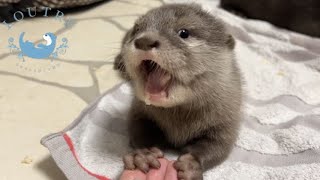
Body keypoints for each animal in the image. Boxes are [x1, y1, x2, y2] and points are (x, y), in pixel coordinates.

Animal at [114, 3, 241, 180]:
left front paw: (191, 165)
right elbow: (137, 129)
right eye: (137, 29)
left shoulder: (227, 118)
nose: (145, 40)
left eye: (184, 32)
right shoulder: (139, 109)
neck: (179, 121)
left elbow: (219, 145)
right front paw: (143, 155)